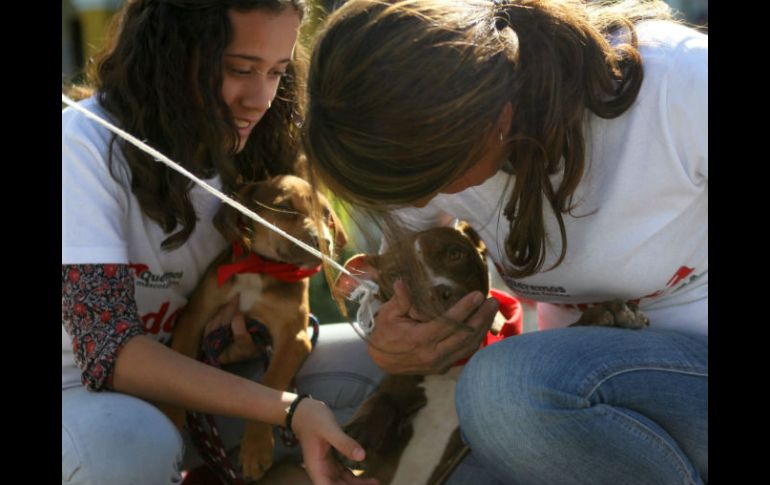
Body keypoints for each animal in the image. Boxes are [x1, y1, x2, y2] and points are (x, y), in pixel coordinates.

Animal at [168, 174, 348, 480]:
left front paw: (256, 448)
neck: (262, 268)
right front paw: (169, 414)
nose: (323, 243)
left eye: (326, 214)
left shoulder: (295, 338)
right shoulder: (194, 317)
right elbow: (179, 364)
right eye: (285, 207)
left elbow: (271, 383)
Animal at [332, 223, 644, 484]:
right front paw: (356, 434)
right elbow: (380, 401)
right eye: (396, 276)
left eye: (455, 253)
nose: (437, 293)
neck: (456, 365)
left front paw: (606, 313)